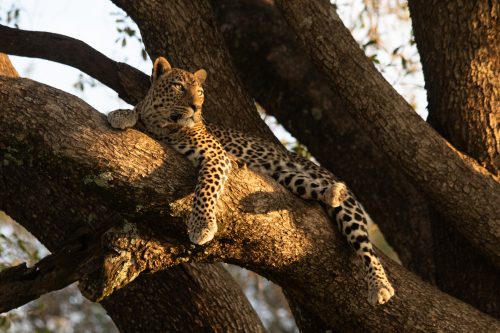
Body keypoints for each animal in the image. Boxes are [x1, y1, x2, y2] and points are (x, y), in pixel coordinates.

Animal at [108, 55, 394, 304]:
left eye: (200, 92)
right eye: (178, 87)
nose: (196, 108)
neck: (164, 125)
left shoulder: (217, 156)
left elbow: (206, 190)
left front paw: (202, 225)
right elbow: (138, 109)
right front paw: (122, 114)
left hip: (349, 214)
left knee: (366, 248)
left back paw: (380, 286)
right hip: (288, 177)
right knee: (312, 187)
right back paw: (331, 192)